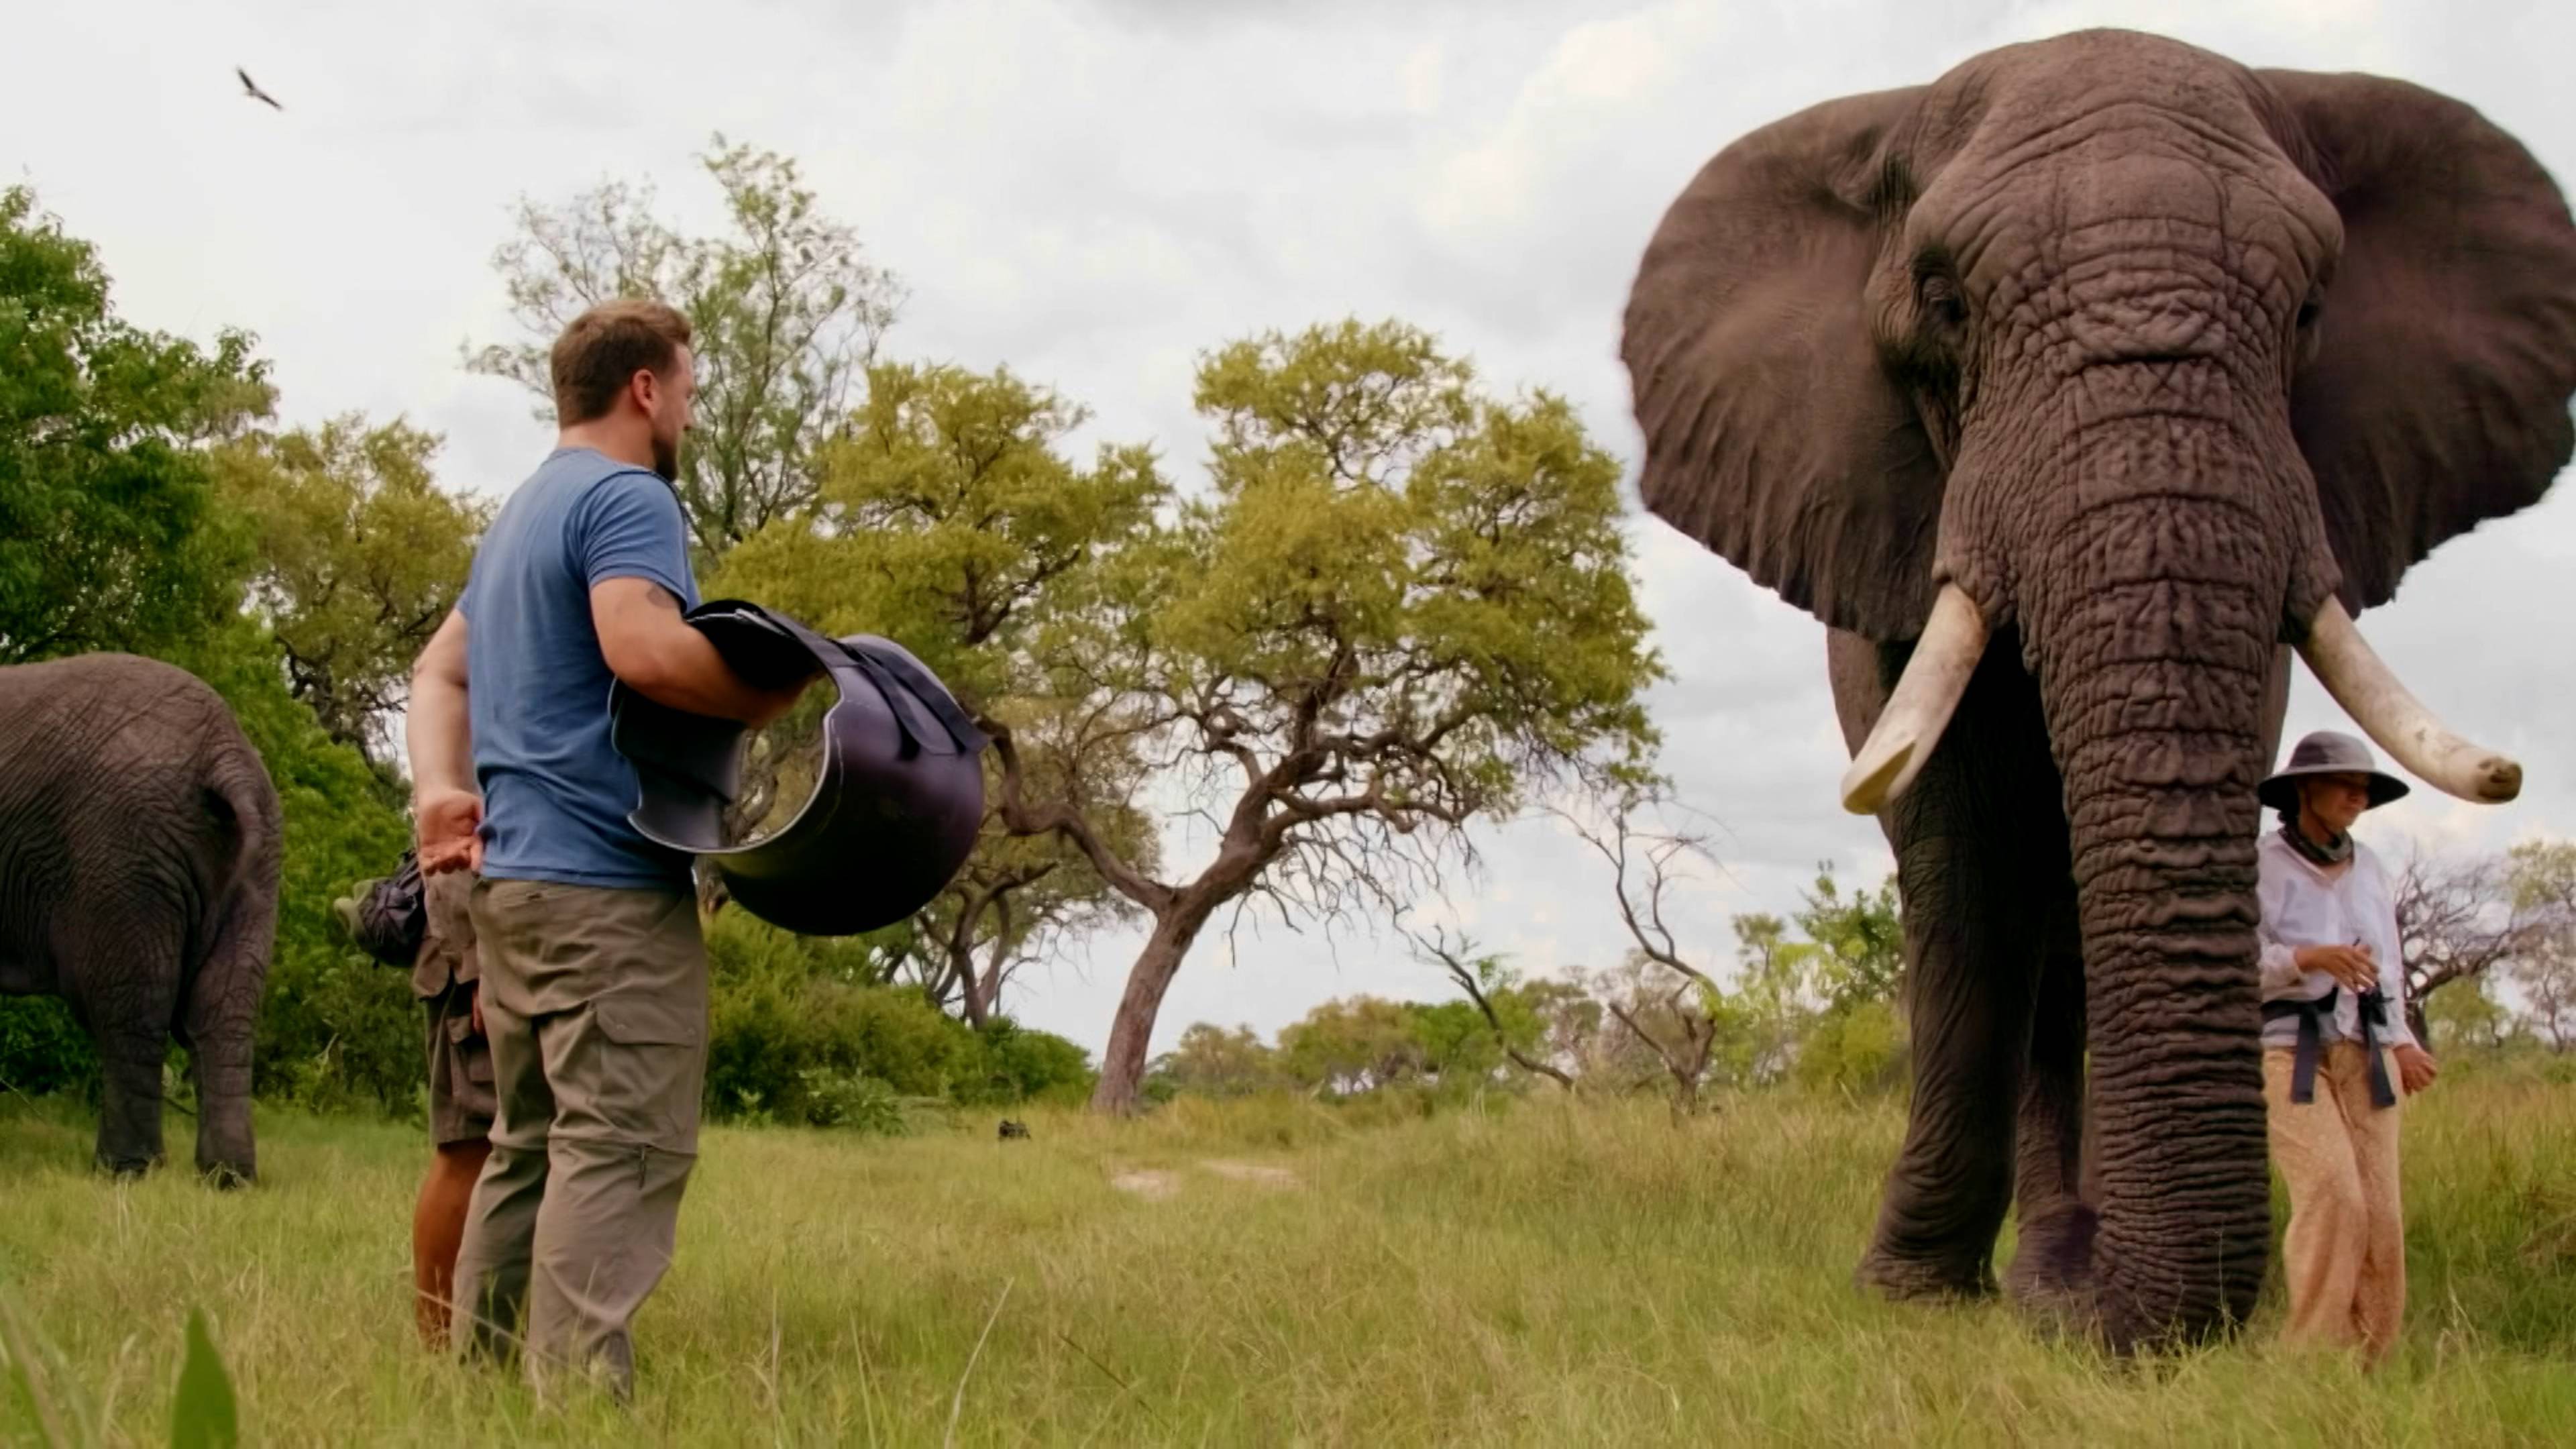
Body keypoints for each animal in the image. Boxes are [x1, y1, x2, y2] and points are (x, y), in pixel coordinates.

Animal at [0, 652, 282, 1185]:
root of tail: (224, 750)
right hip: (257, 862)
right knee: (223, 1010)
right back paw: (227, 1179)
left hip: (120, 852)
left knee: (130, 1009)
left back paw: (125, 1172)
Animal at [1620, 27, 2576, 1351]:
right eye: (1948, 305)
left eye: (2310, 310)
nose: (2107, 1320)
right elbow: (1961, 859)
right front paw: (1911, 1295)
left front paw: (2063, 1290)